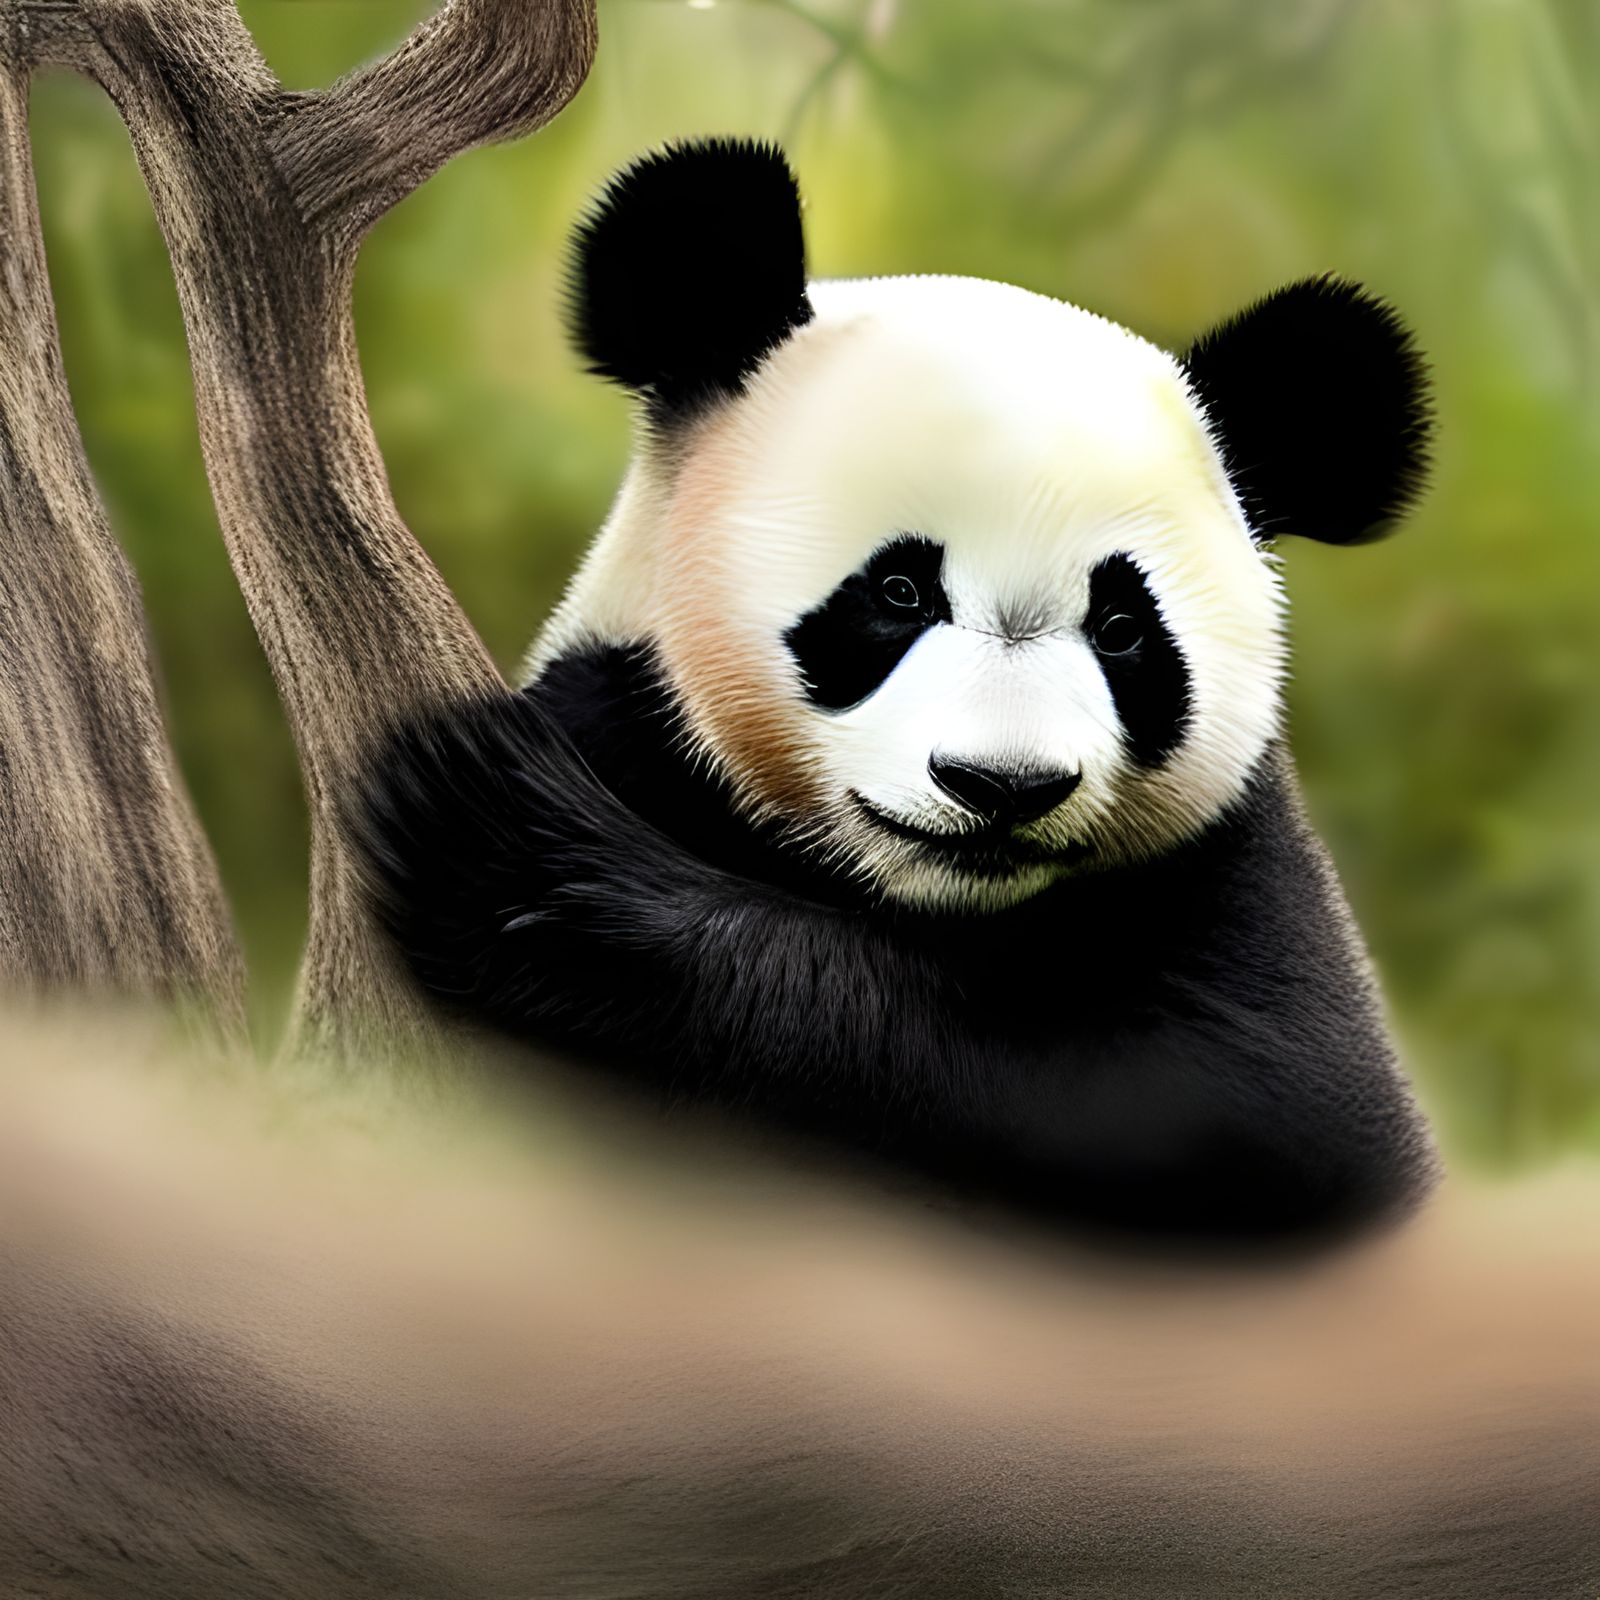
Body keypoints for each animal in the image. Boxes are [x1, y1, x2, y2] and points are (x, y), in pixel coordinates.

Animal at [361, 138, 1438, 1241]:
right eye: (899, 591)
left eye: (1123, 631)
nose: (1002, 786)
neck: (920, 902)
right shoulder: (627, 719)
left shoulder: (1236, 873)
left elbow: (1241, 1100)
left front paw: (528, 864)